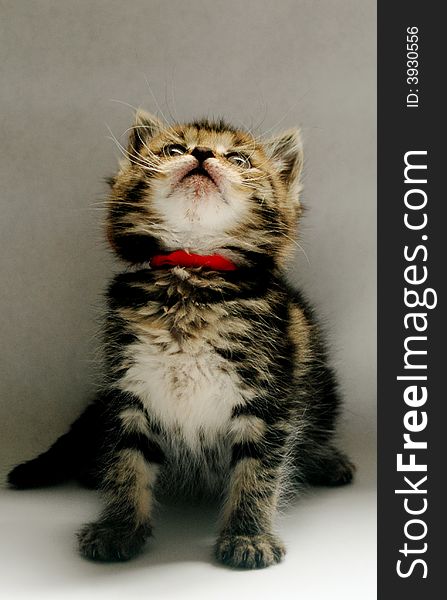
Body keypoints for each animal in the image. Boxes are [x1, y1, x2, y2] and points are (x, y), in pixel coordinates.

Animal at [8, 111, 356, 568]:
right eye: (173, 149)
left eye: (239, 159)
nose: (203, 153)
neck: (190, 273)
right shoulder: (129, 388)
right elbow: (125, 459)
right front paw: (119, 527)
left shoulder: (269, 396)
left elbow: (260, 470)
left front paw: (248, 535)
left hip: (323, 388)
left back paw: (325, 459)